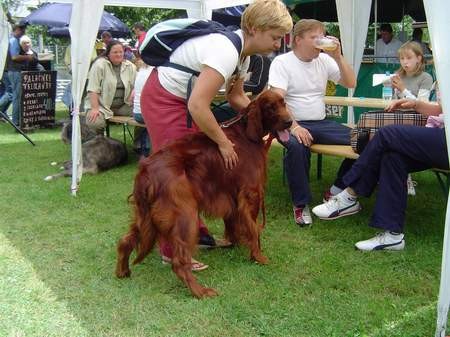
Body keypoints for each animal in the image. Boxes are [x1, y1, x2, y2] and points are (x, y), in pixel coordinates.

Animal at [116, 89, 292, 296]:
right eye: (271, 107)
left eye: (284, 103)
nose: (290, 122)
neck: (248, 133)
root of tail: (146, 170)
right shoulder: (250, 194)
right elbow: (254, 228)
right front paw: (258, 256)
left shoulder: (231, 196)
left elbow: (234, 224)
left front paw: (234, 243)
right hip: (185, 215)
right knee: (178, 262)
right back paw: (200, 291)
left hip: (145, 215)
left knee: (125, 240)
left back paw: (122, 271)